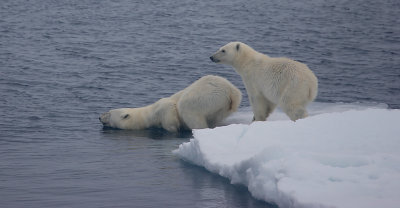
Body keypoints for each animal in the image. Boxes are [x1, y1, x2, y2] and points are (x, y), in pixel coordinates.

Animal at [99, 75, 241, 132]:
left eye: (109, 113)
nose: (99, 117)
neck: (149, 114)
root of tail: (231, 91)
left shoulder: (163, 106)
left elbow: (170, 111)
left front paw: (174, 128)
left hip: (207, 95)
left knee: (188, 108)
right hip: (224, 107)